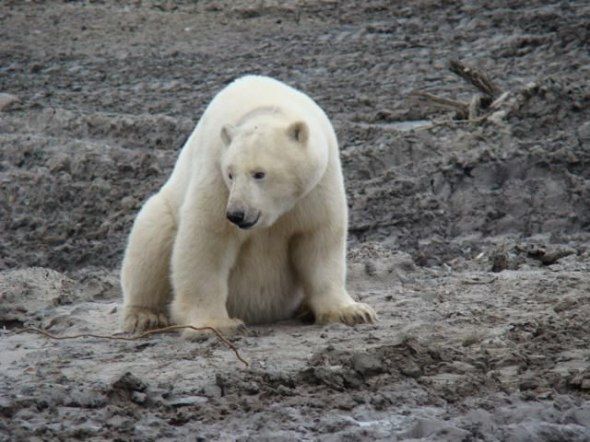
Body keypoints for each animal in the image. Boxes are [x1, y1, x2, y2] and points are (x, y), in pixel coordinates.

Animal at [119, 76, 376, 338]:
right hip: (166, 209)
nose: (236, 214)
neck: (265, 106)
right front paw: (215, 323)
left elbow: (318, 239)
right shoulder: (216, 175)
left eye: (259, 173)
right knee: (151, 241)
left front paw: (352, 312)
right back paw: (145, 316)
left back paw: (305, 308)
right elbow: (207, 241)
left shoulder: (317, 185)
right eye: (231, 173)